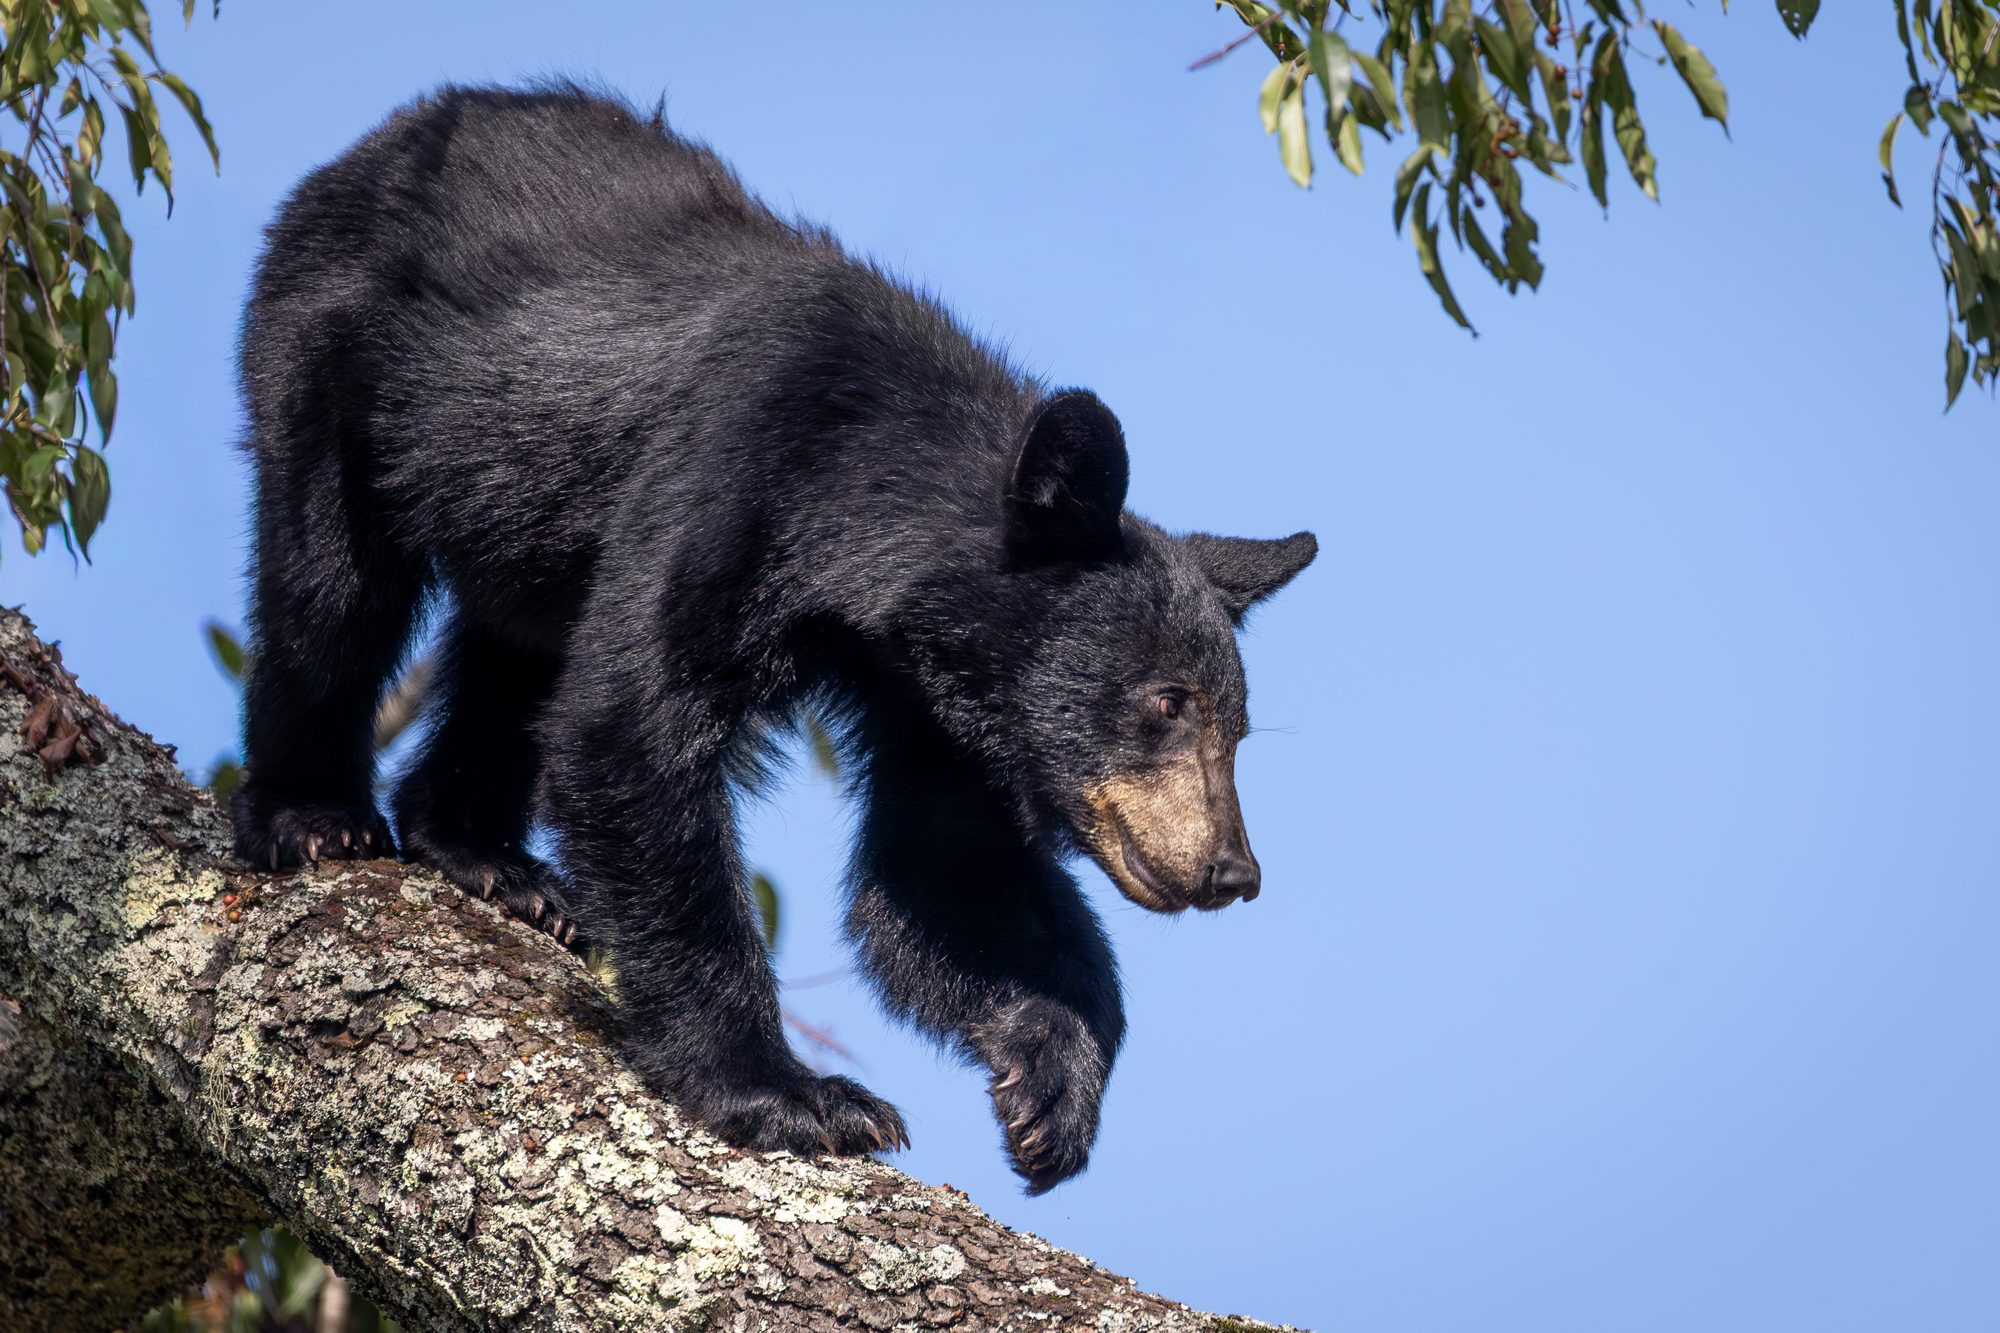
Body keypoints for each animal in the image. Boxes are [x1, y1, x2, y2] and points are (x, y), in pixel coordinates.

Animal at [228, 85, 1316, 1192]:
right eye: (1166, 701)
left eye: (1235, 727)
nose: (1234, 872)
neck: (862, 520)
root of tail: (399, 128)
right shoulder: (728, 474)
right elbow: (633, 722)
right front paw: (793, 1093)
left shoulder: (924, 684)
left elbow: (937, 866)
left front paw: (1050, 1078)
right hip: (338, 350)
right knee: (328, 587)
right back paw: (314, 811)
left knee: (516, 655)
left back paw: (489, 855)